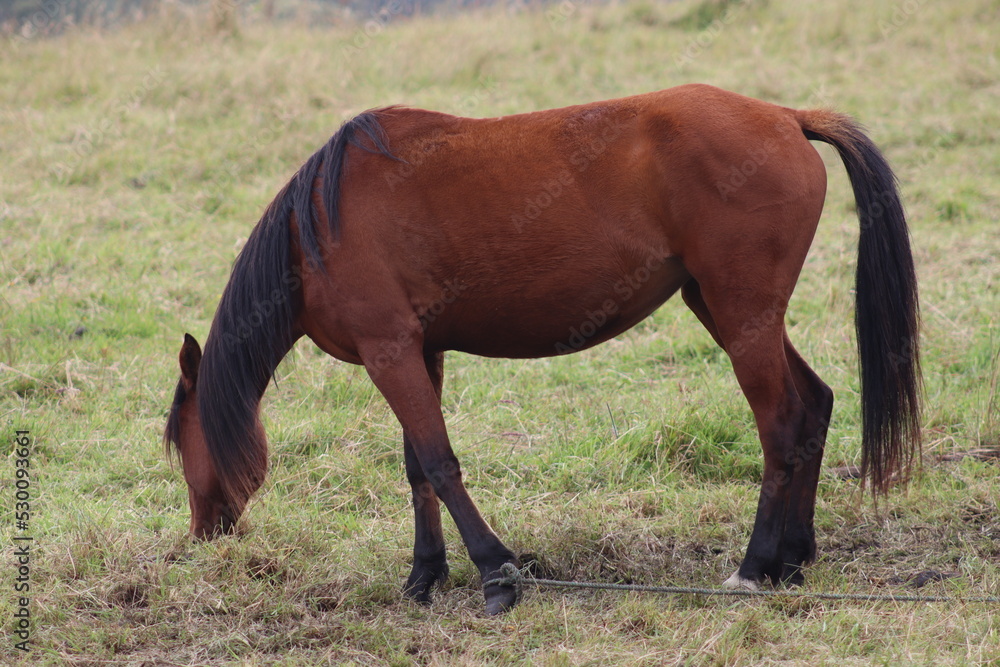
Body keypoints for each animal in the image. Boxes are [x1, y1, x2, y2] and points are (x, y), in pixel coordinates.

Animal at [164, 83, 921, 615]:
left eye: (178, 443)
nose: (203, 533)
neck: (319, 226)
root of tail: (788, 118)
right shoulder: (417, 351)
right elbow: (417, 469)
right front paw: (424, 576)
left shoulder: (390, 350)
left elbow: (439, 463)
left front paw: (496, 574)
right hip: (724, 309)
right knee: (814, 405)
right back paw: (794, 559)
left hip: (741, 317)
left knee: (782, 425)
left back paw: (756, 565)